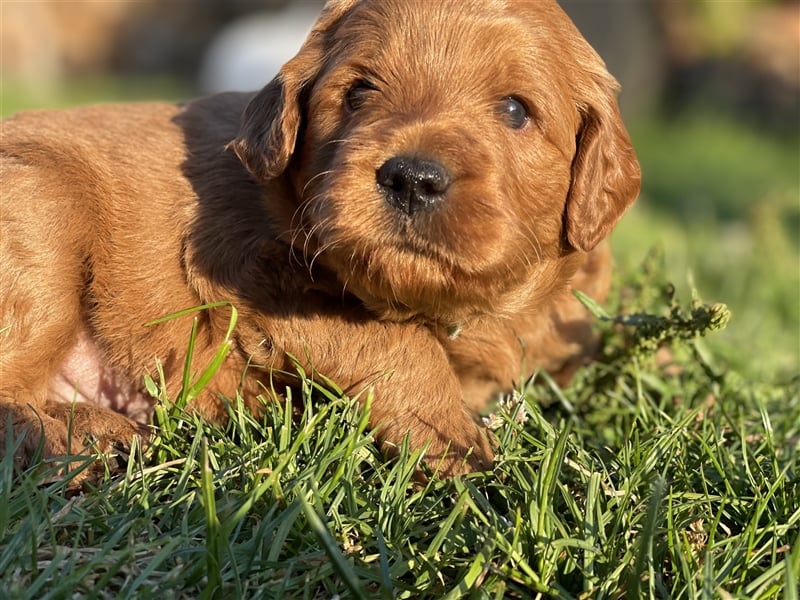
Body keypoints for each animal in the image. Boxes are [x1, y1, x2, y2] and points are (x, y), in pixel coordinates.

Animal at [0, 0, 640, 478]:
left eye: (514, 109)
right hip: (44, 207)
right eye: (358, 93)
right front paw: (461, 451)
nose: (411, 178)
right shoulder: (255, 270)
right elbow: (398, 344)